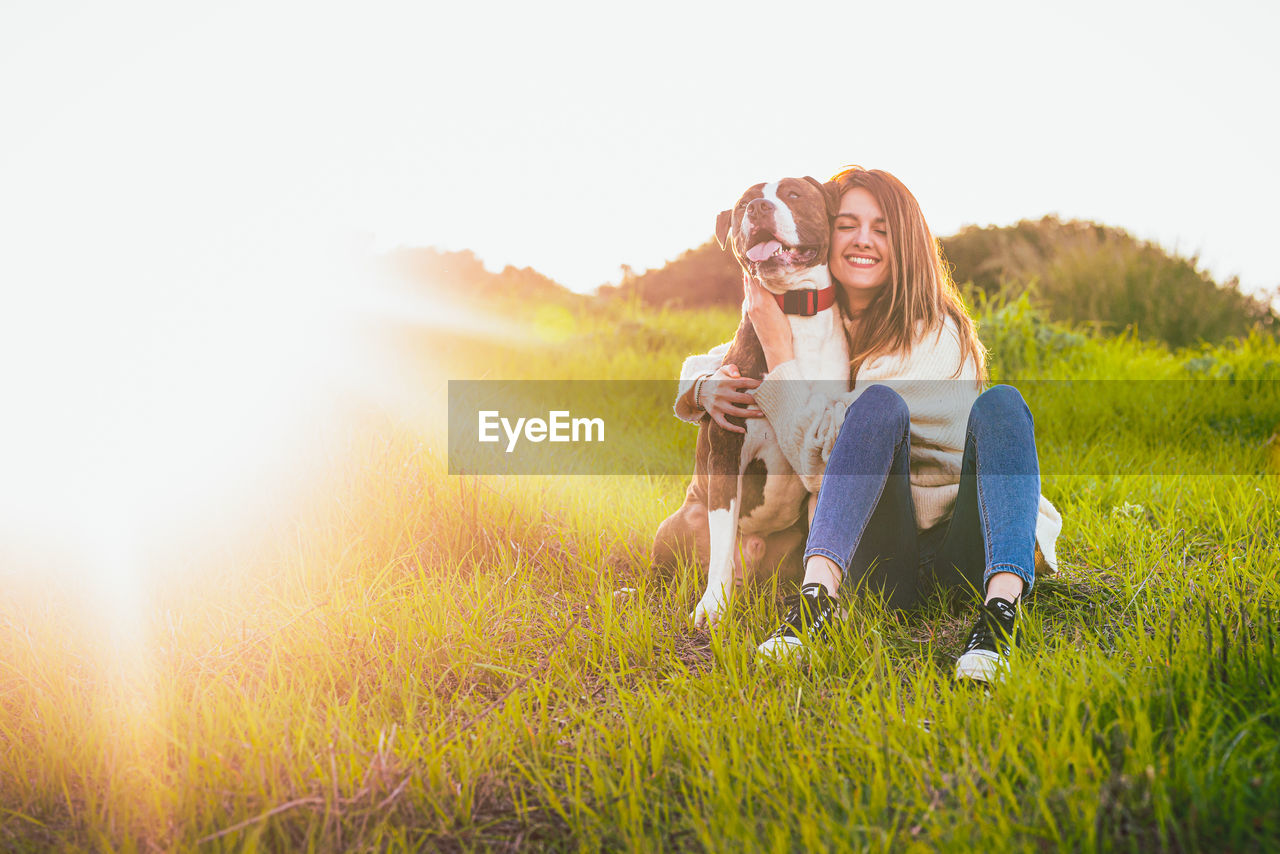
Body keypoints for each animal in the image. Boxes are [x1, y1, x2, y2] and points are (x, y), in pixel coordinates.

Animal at [660, 175, 849, 627]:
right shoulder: (728, 449)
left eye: (794, 194)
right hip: (677, 523)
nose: (758, 208)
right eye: (744, 202)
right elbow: (723, 543)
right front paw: (712, 605)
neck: (795, 312)